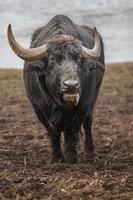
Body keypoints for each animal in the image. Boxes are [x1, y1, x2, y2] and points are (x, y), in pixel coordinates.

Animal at [7, 14, 105, 163]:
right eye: (52, 58)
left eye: (79, 59)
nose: (71, 85)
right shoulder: (39, 109)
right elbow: (53, 132)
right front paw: (56, 158)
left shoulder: (83, 106)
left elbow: (72, 131)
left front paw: (70, 157)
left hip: (93, 99)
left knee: (88, 123)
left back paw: (89, 153)